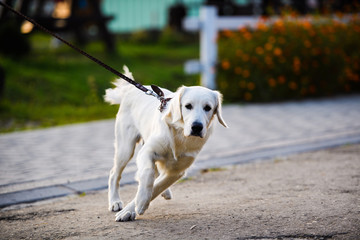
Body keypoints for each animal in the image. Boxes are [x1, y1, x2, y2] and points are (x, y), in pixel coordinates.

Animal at [105, 65, 228, 221]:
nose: (197, 127)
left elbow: (158, 186)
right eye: (188, 106)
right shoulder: (147, 151)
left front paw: (135, 206)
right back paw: (115, 202)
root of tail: (130, 89)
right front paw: (139, 202)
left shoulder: (177, 171)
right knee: (114, 174)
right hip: (125, 148)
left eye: (208, 108)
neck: (180, 135)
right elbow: (148, 173)